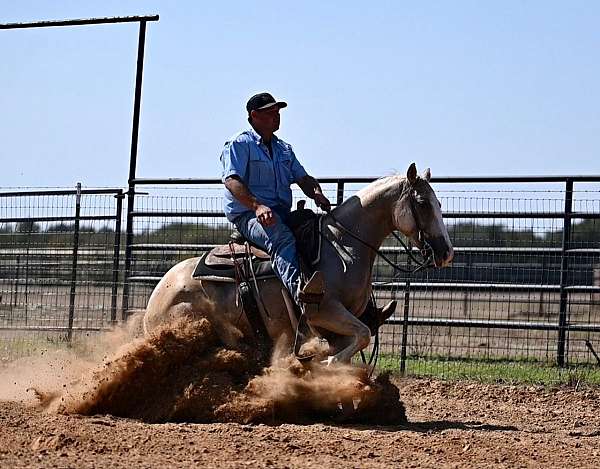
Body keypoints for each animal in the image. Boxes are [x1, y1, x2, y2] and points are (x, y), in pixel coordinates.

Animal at [144, 163, 454, 364]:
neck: (343, 248)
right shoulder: (324, 313)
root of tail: (155, 300)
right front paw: (325, 365)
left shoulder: (337, 328)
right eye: (423, 203)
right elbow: (361, 337)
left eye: (439, 204)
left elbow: (355, 341)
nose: (446, 252)